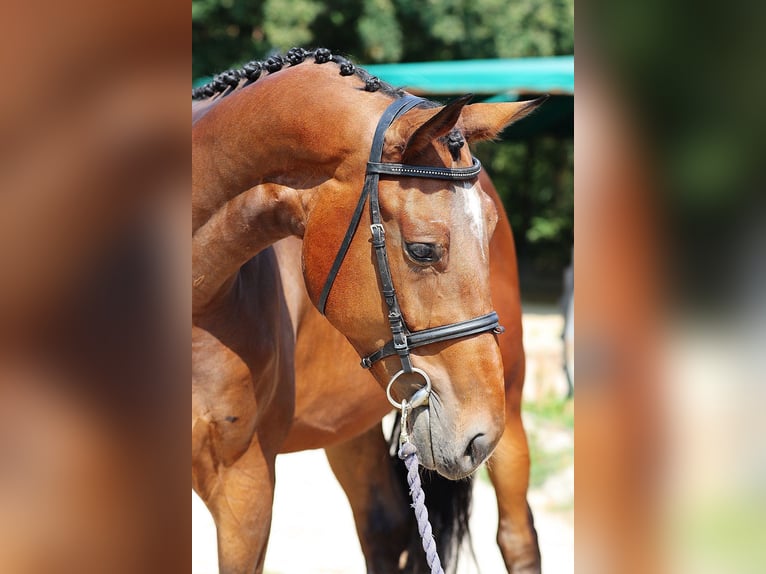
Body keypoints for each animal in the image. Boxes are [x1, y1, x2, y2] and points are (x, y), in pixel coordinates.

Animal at [192, 49, 544, 574]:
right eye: (422, 250)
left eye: (491, 230)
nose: (477, 435)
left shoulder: (244, 485)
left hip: (513, 404)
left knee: (517, 536)